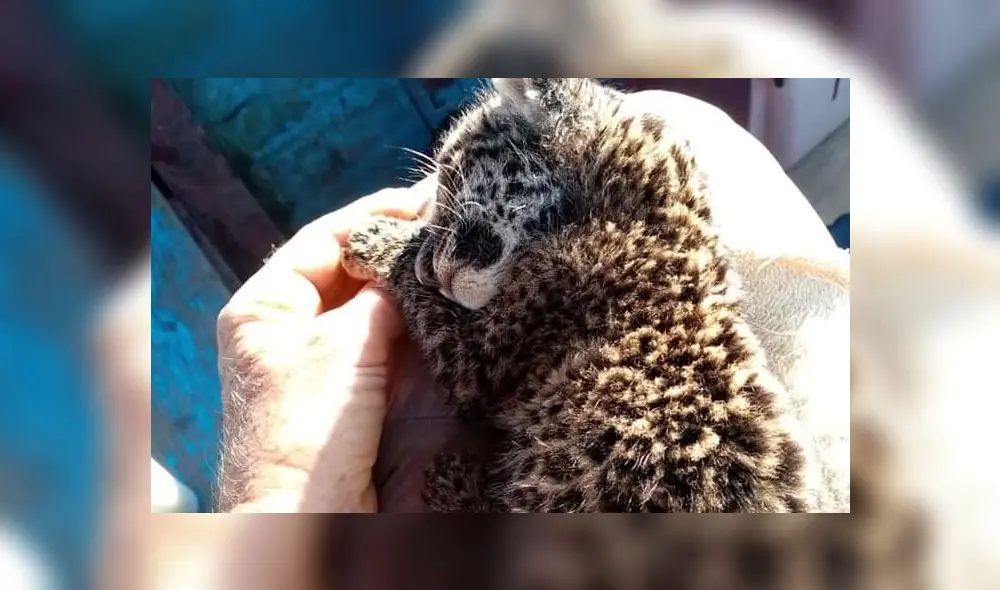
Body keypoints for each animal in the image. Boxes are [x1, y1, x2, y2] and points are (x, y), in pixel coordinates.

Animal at [343, 77, 806, 512]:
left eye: (450, 180)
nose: (429, 275)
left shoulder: (478, 356)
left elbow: (434, 313)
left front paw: (376, 240)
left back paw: (453, 484)